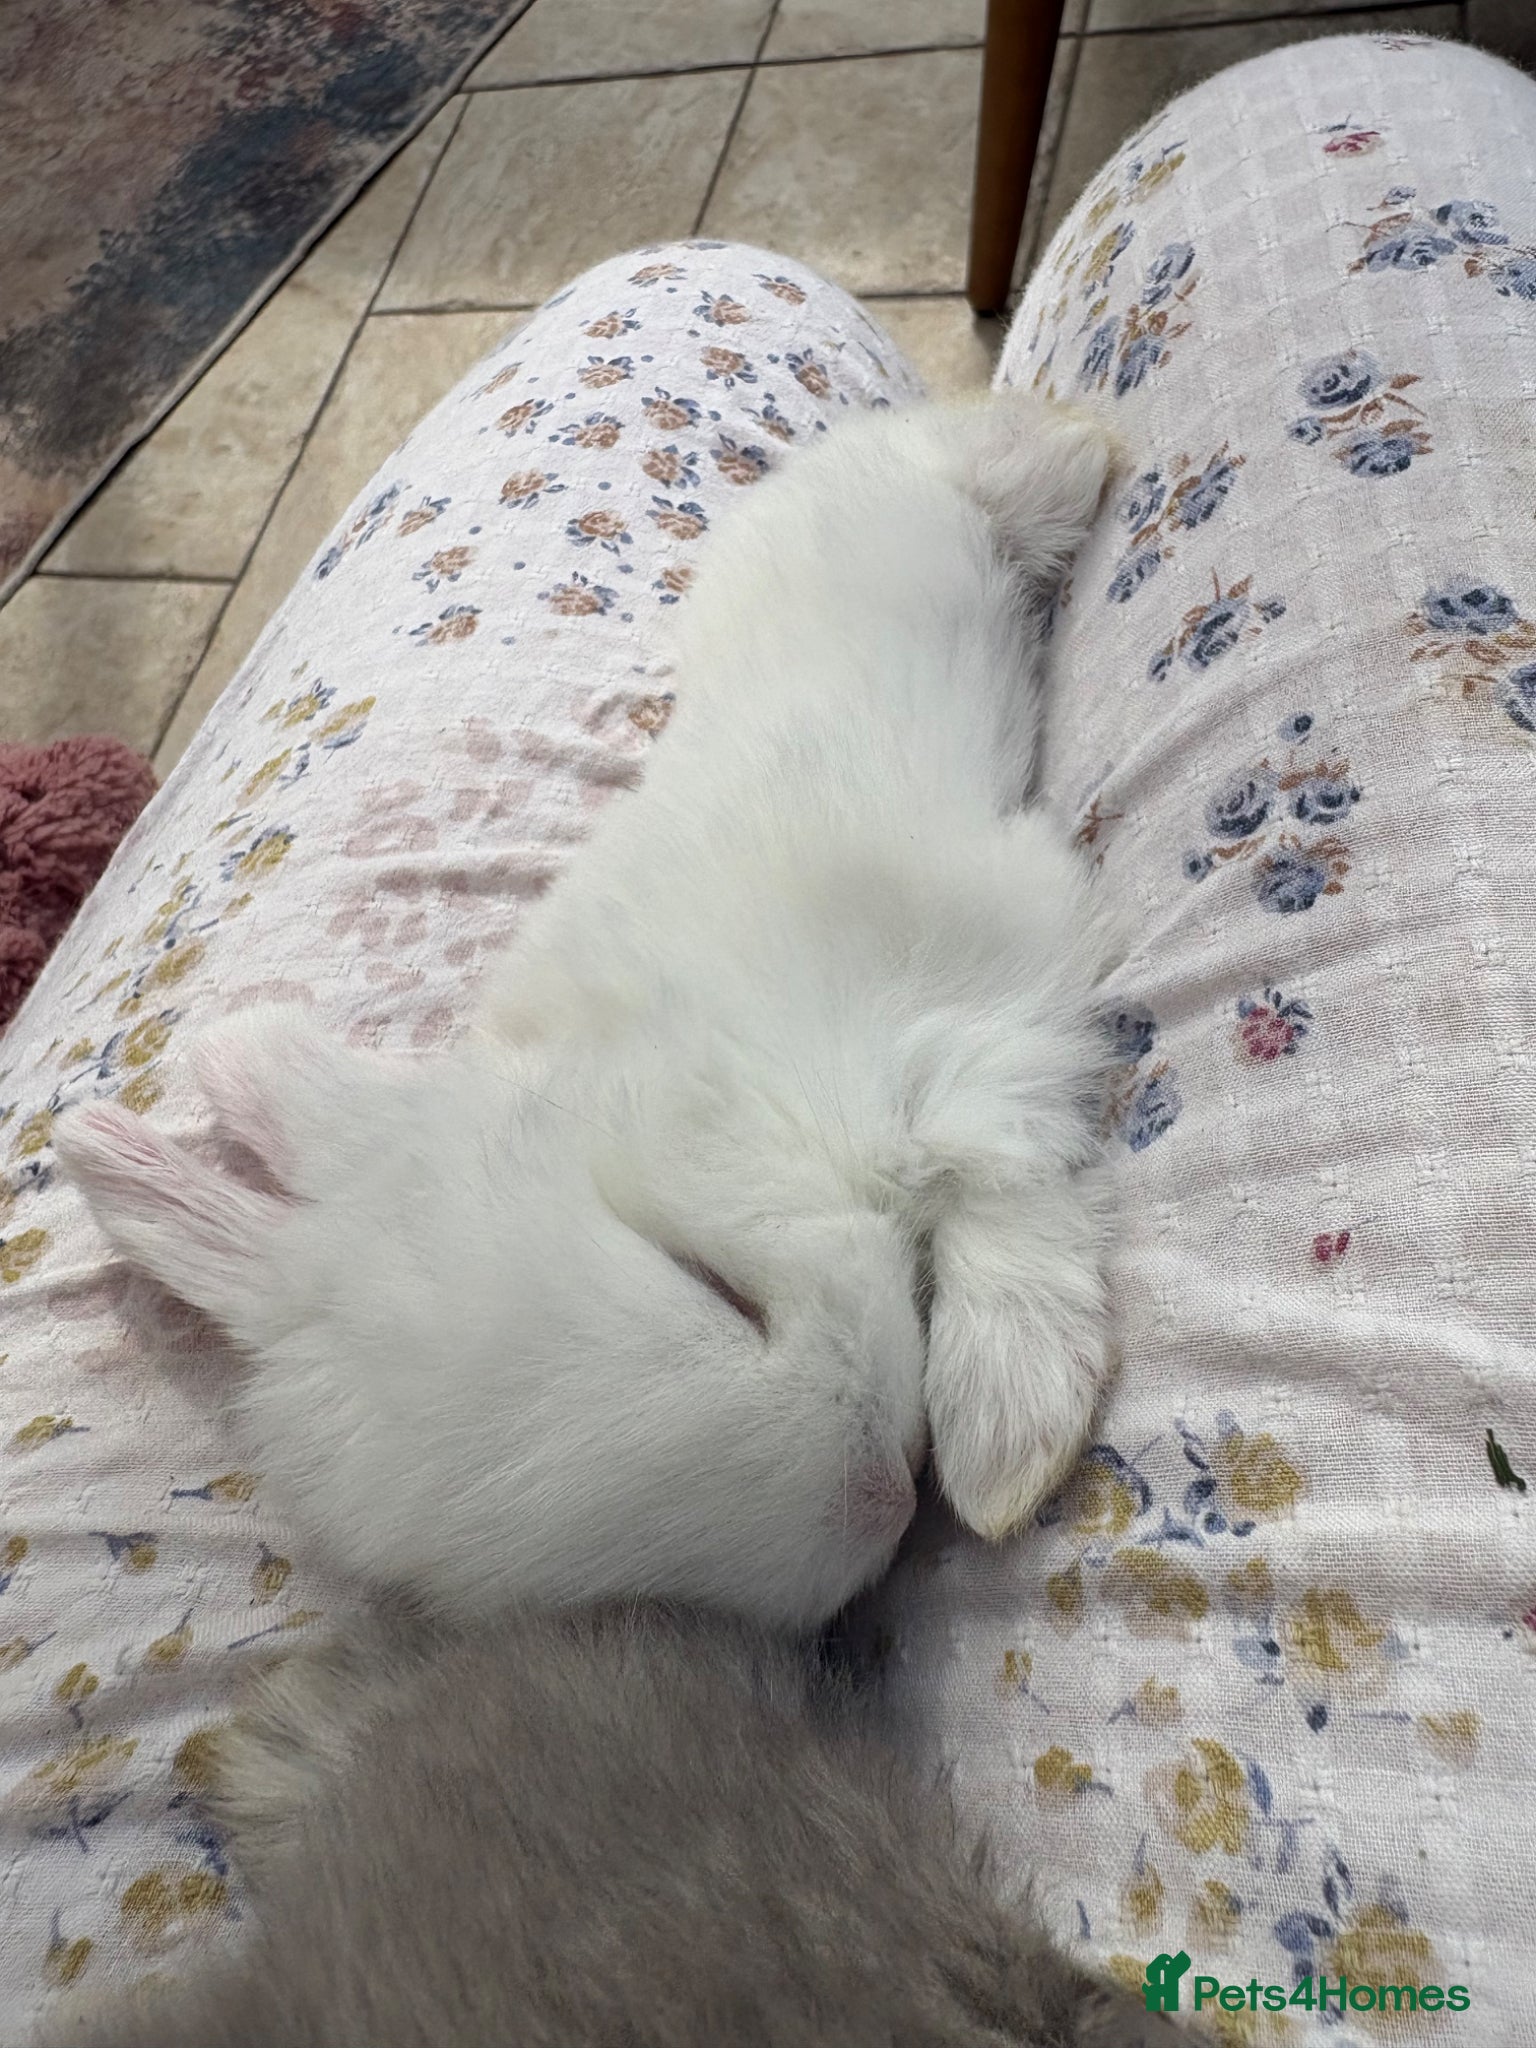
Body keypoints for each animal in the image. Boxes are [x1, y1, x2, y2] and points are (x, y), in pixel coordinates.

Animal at [57, 392, 1121, 1631]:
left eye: (715, 1287)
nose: (886, 1493)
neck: (701, 1062)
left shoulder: (985, 977)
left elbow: (1003, 1179)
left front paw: (1007, 1436)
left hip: (932, 497)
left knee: (988, 452)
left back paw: (1097, 445)